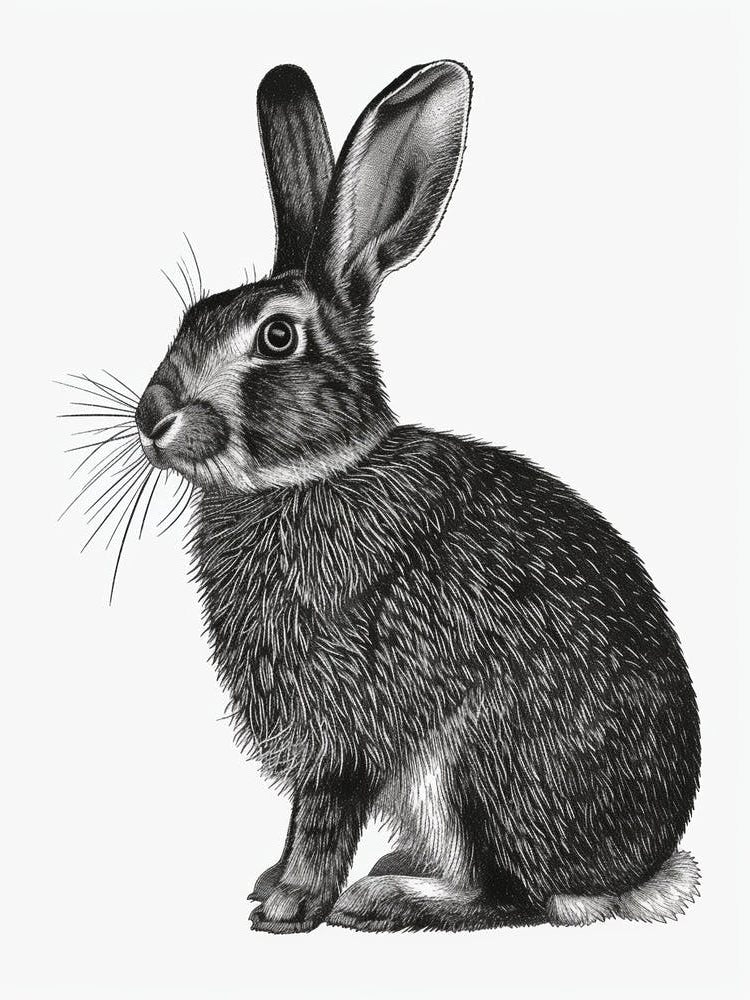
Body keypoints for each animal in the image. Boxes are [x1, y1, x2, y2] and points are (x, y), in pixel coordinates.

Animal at [133, 61, 700, 933]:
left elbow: (323, 815)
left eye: (276, 337)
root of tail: (637, 872)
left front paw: (289, 906)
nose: (151, 417)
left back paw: (383, 897)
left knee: (510, 897)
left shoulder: (346, 720)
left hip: (473, 766)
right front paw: (269, 882)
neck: (316, 472)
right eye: (191, 316)